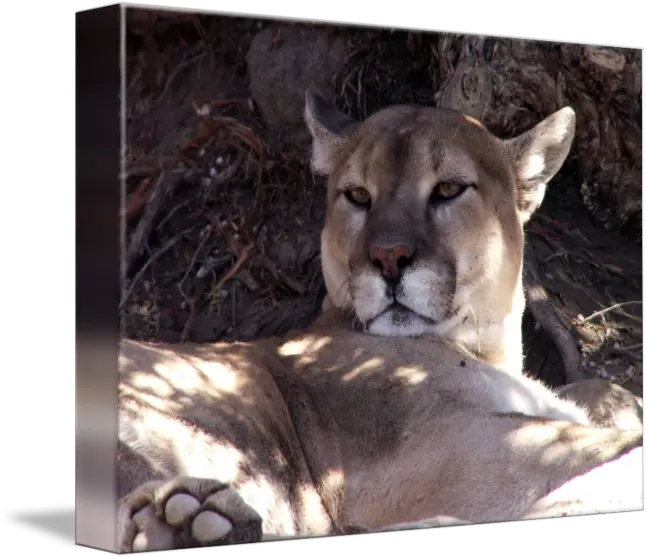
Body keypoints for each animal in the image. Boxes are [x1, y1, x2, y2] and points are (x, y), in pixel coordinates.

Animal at [116, 88, 644, 552]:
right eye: (357, 196)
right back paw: (184, 524)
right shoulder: (443, 446)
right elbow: (598, 444)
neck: (484, 347)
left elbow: (597, 399)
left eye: (448, 189)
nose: (388, 258)